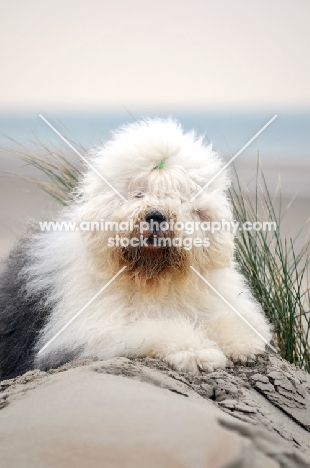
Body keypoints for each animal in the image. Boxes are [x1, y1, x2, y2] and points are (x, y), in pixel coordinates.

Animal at [0, 119, 272, 378]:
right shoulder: (95, 329)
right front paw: (197, 351)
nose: (156, 216)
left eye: (179, 198)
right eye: (138, 194)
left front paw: (243, 342)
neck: (151, 277)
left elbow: (228, 317)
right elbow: (156, 328)